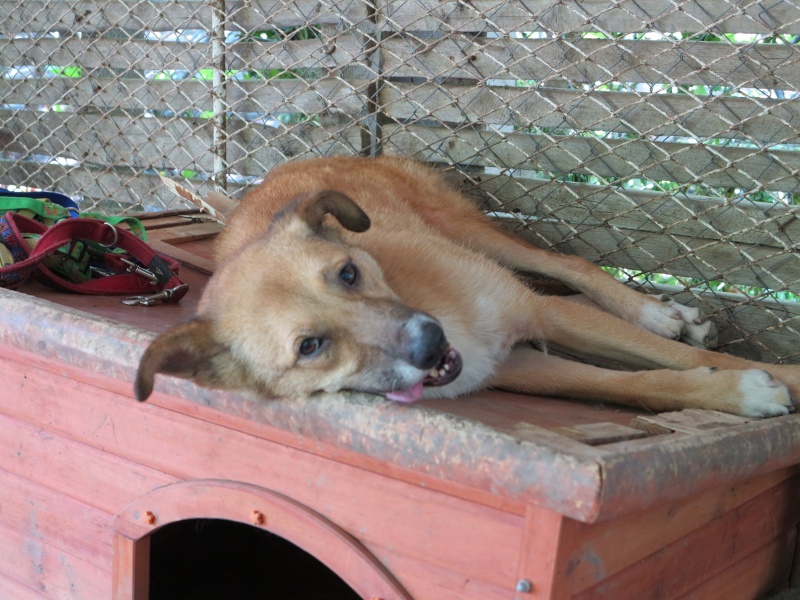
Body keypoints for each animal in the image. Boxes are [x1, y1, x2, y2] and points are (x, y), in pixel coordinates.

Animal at [136, 155, 800, 418]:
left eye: (348, 273)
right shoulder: (523, 367)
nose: (431, 344)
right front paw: (739, 394)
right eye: (309, 347)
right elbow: (638, 385)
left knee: (570, 268)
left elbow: (678, 358)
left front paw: (777, 377)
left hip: (468, 231)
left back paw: (657, 313)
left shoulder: (535, 314)